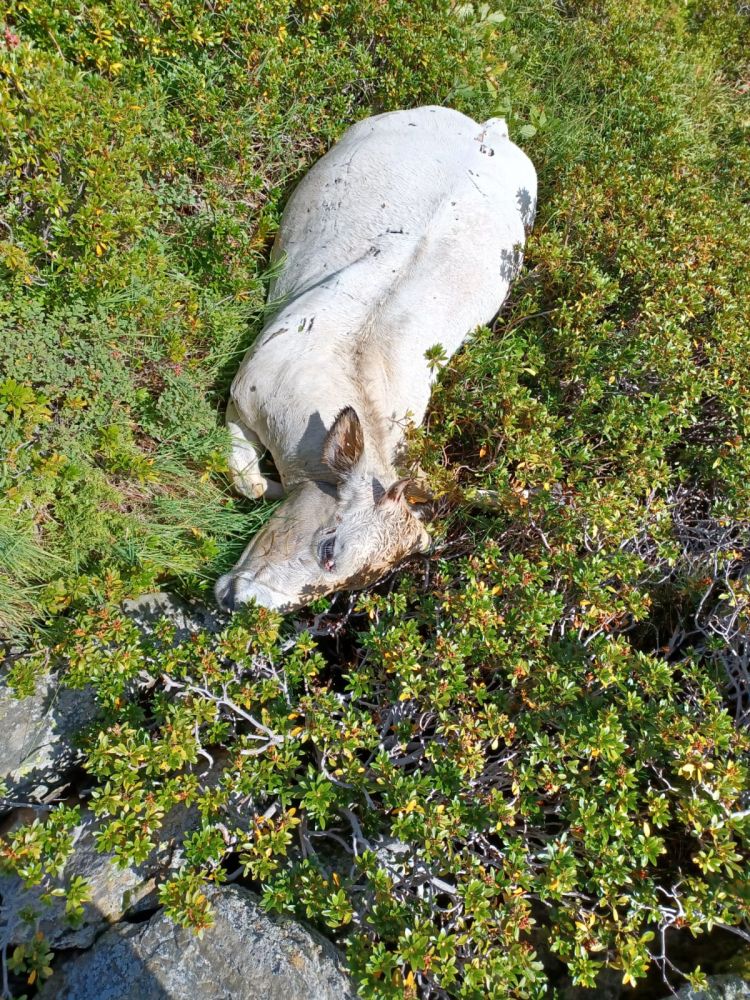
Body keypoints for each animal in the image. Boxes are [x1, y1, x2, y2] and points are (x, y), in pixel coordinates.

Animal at [214, 105, 536, 612]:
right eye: (328, 547)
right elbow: (248, 481)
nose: (238, 605)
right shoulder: (244, 393)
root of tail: (490, 129)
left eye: (343, 588)